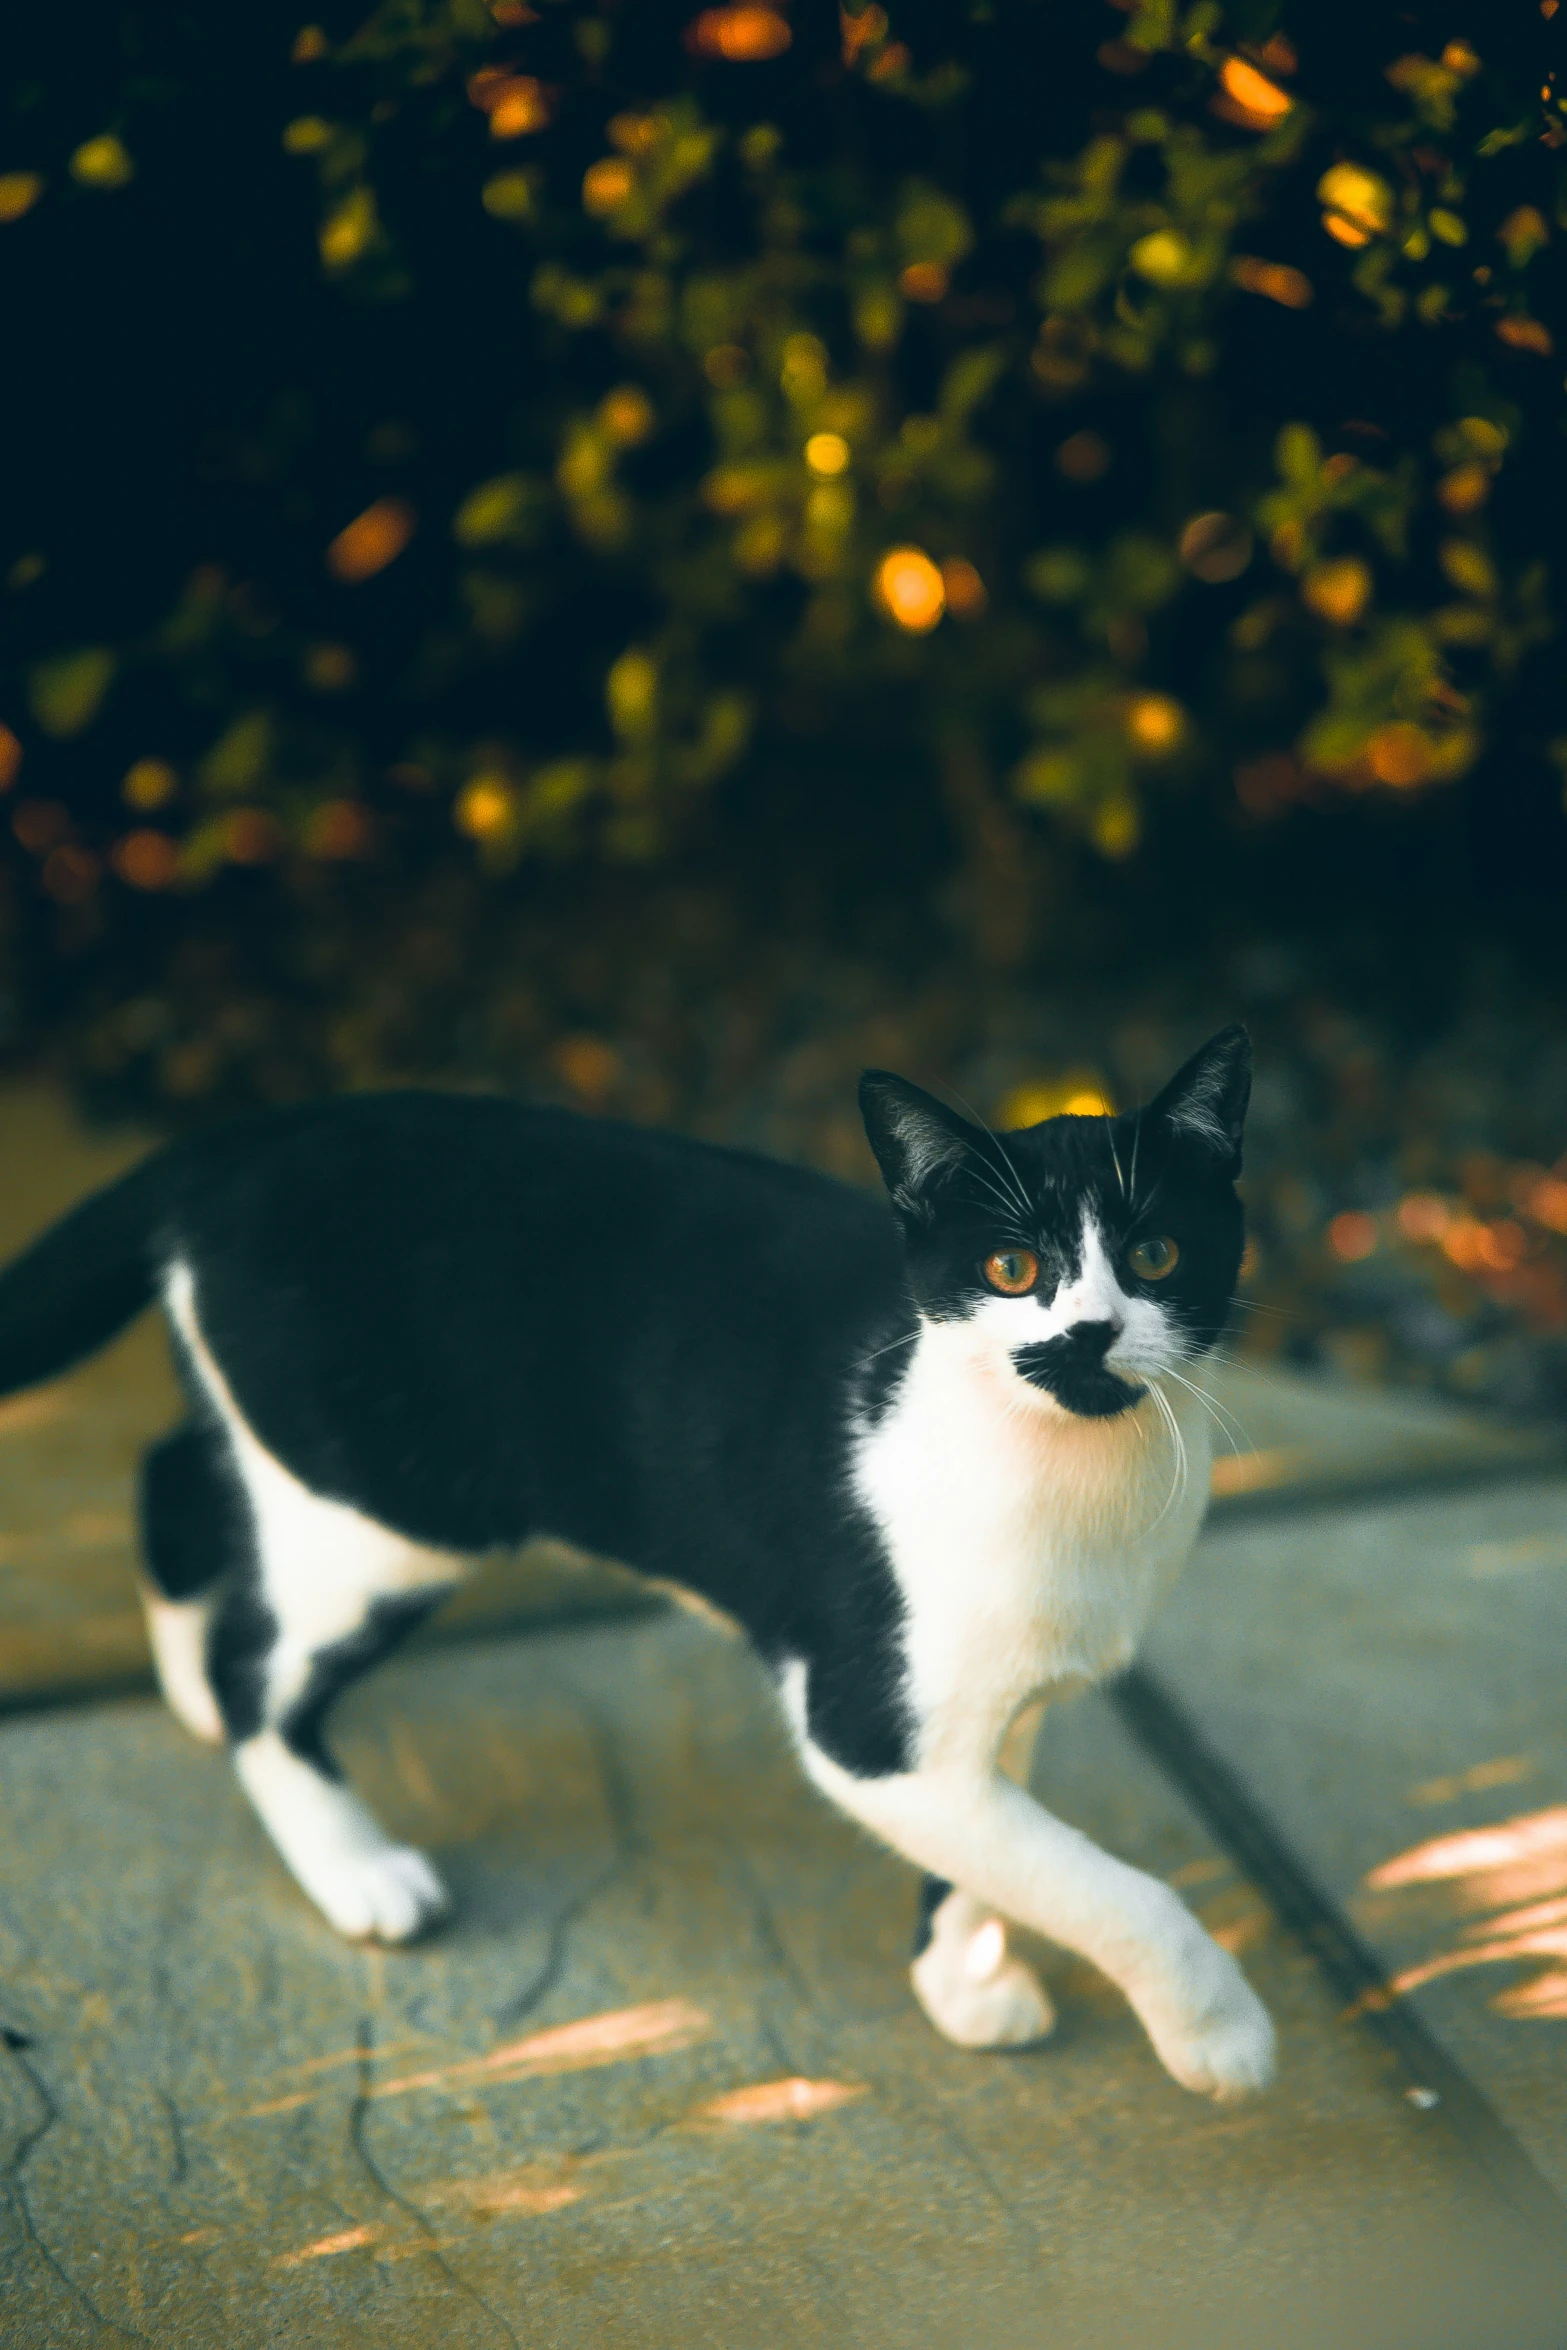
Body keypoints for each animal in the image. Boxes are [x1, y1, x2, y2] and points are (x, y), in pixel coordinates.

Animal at [0, 1024, 1278, 2096]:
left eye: (1157, 1253)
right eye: (1012, 1270)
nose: (1092, 1333)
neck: (1069, 1479)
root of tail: (237, 1139)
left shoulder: (987, 1709)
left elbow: (1004, 1852)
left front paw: (963, 1982)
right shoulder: (869, 1727)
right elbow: (1110, 1886)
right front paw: (1220, 2033)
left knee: (176, 1474)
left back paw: (185, 1685)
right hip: (382, 1520)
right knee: (261, 1672)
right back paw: (349, 1862)